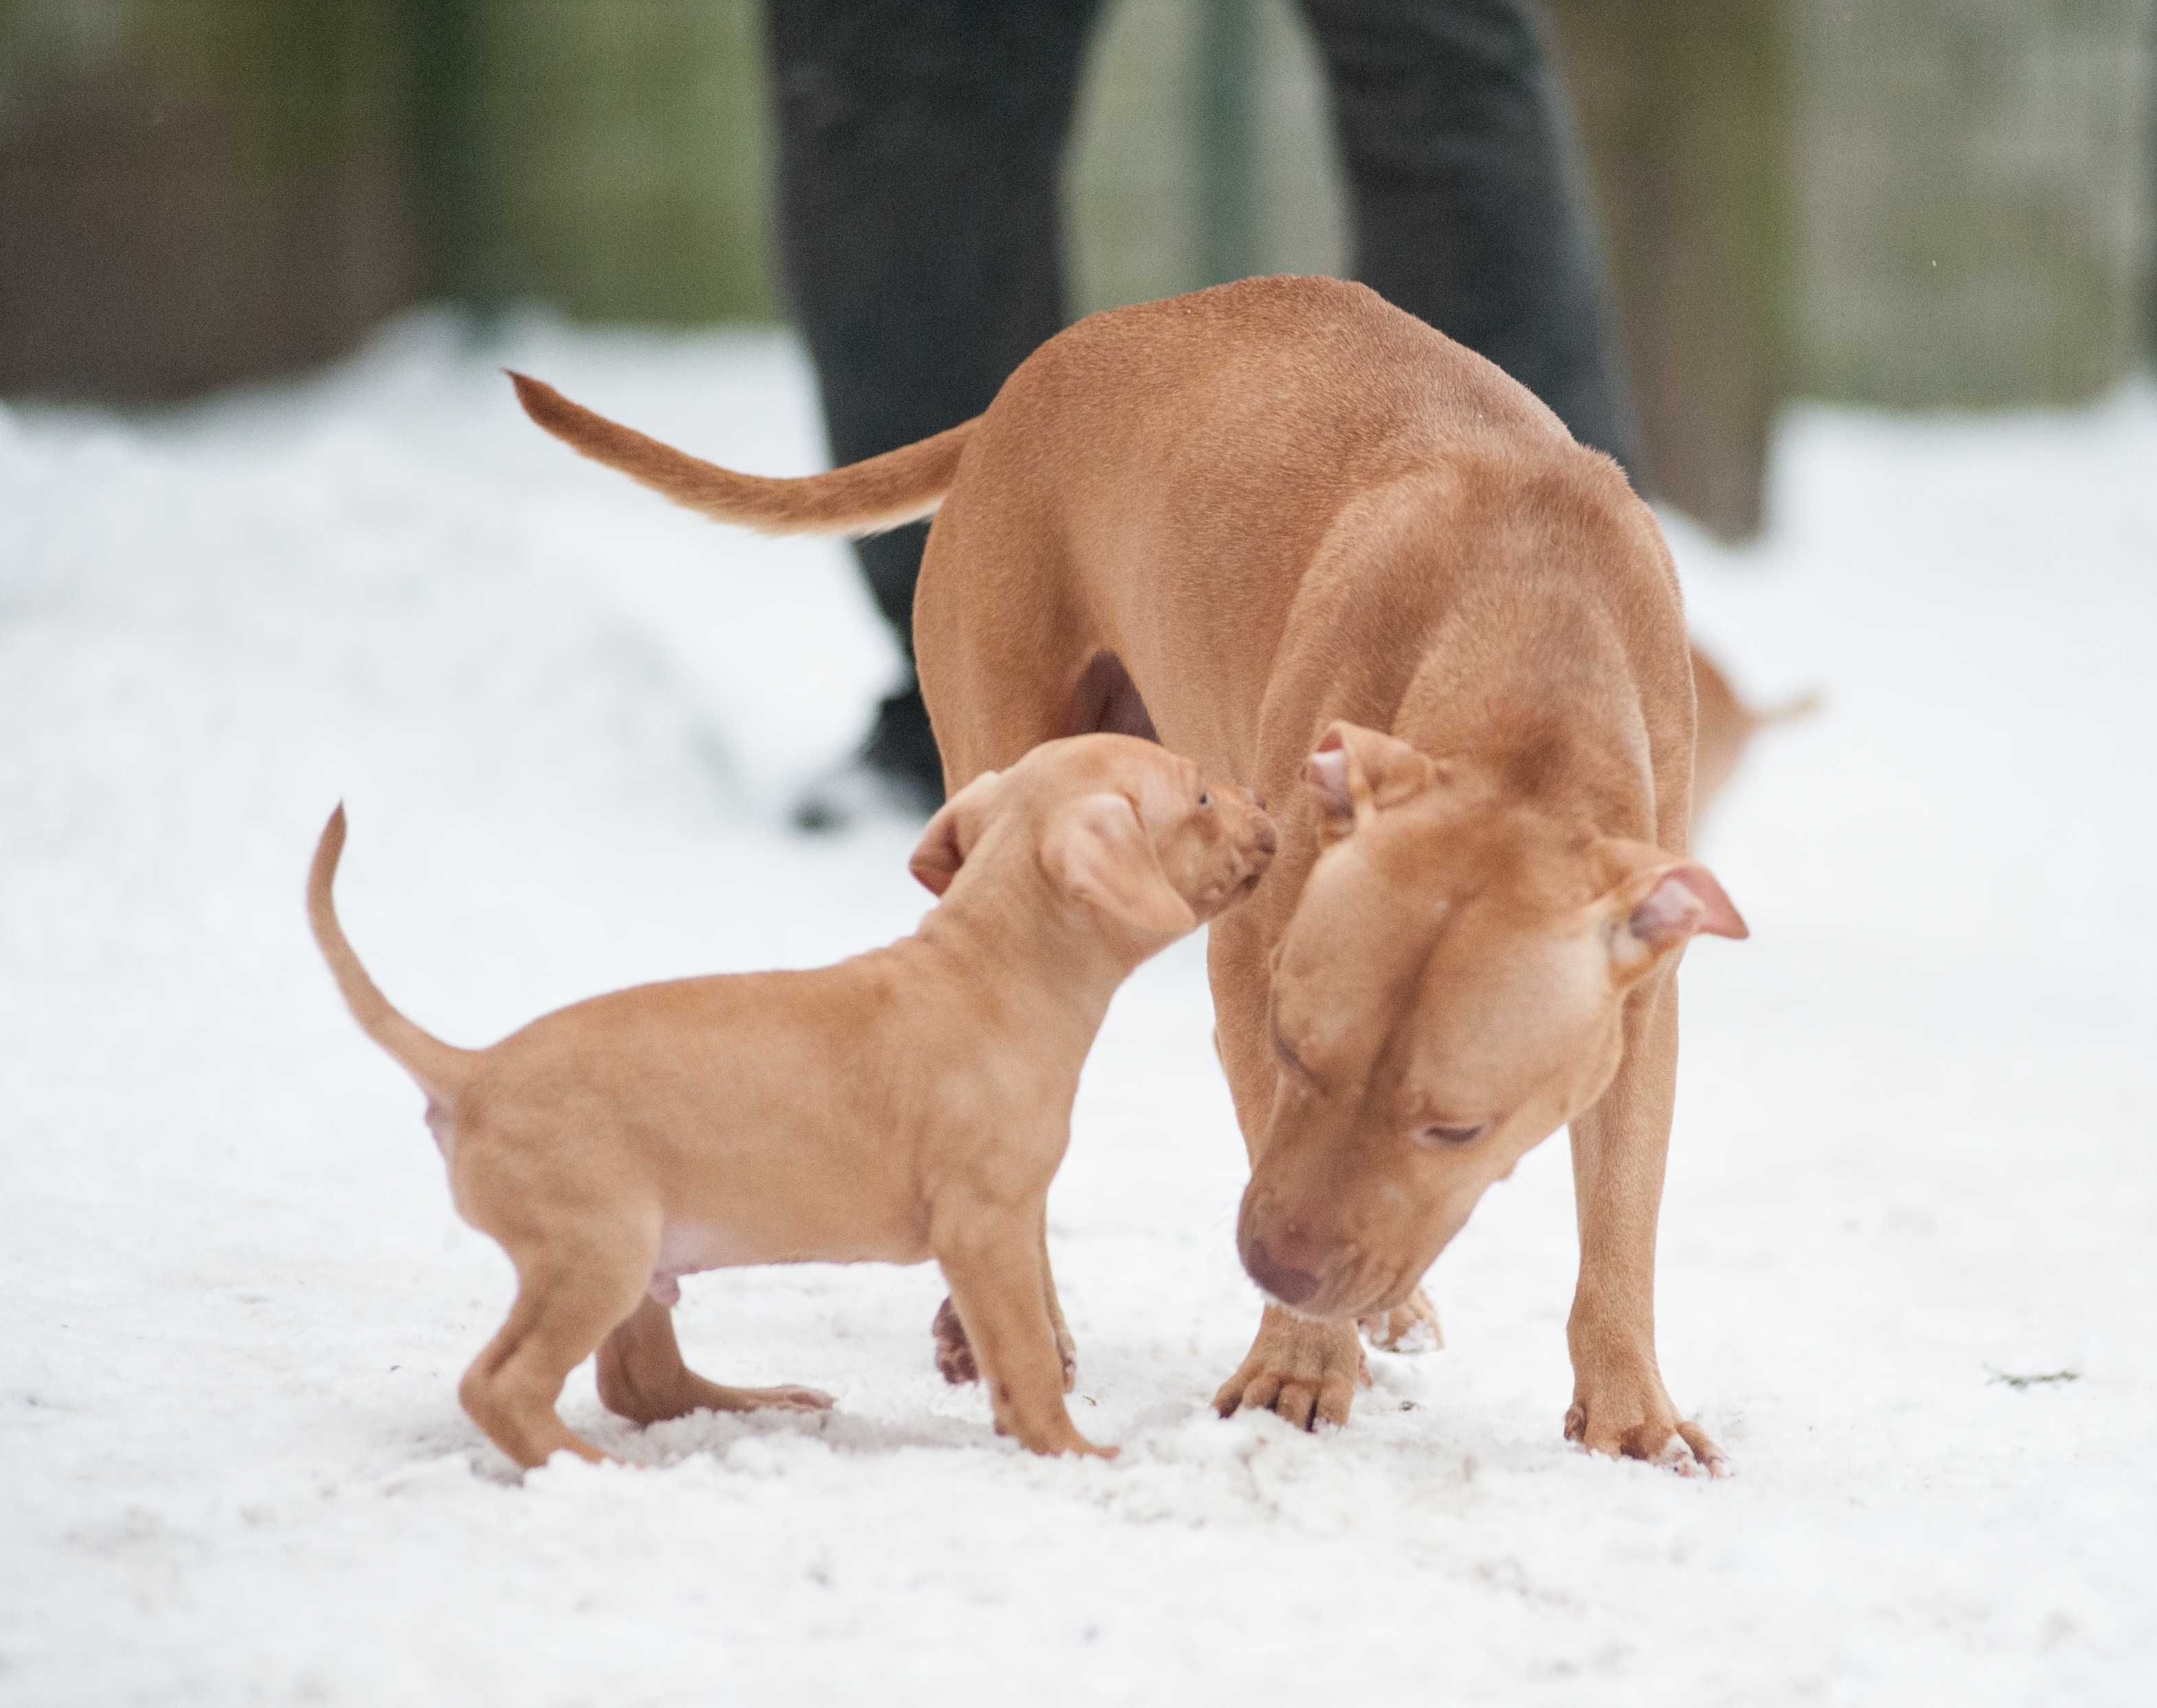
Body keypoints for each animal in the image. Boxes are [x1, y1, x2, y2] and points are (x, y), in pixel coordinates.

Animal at [308, 733, 1276, 1466]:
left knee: (638, 1382)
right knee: (501, 1386)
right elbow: (1028, 1355)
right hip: (593, 1250)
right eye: (1198, 796)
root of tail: (470, 1072)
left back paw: (760, 1403)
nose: (1268, 809)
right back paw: (596, 1470)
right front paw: (1071, 1451)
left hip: (633, 1256)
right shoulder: (984, 1226)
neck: (991, 966)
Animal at [517, 273, 1751, 1474]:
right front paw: (1300, 1364)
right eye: (1299, 1055)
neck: (1526, 666)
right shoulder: (1253, 969)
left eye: (1458, 1127)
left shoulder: (1636, 1013)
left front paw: (1629, 1408)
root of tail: (1028, 383)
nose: (1279, 1266)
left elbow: (1620, 1210)